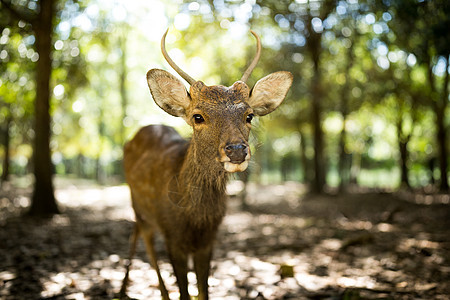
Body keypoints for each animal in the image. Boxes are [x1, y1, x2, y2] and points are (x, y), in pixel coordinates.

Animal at [121, 28, 294, 300]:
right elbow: (184, 291)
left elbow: (203, 290)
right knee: (145, 242)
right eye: (198, 116)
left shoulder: (209, 240)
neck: (195, 218)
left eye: (249, 116)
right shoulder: (173, 237)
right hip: (138, 207)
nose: (236, 150)